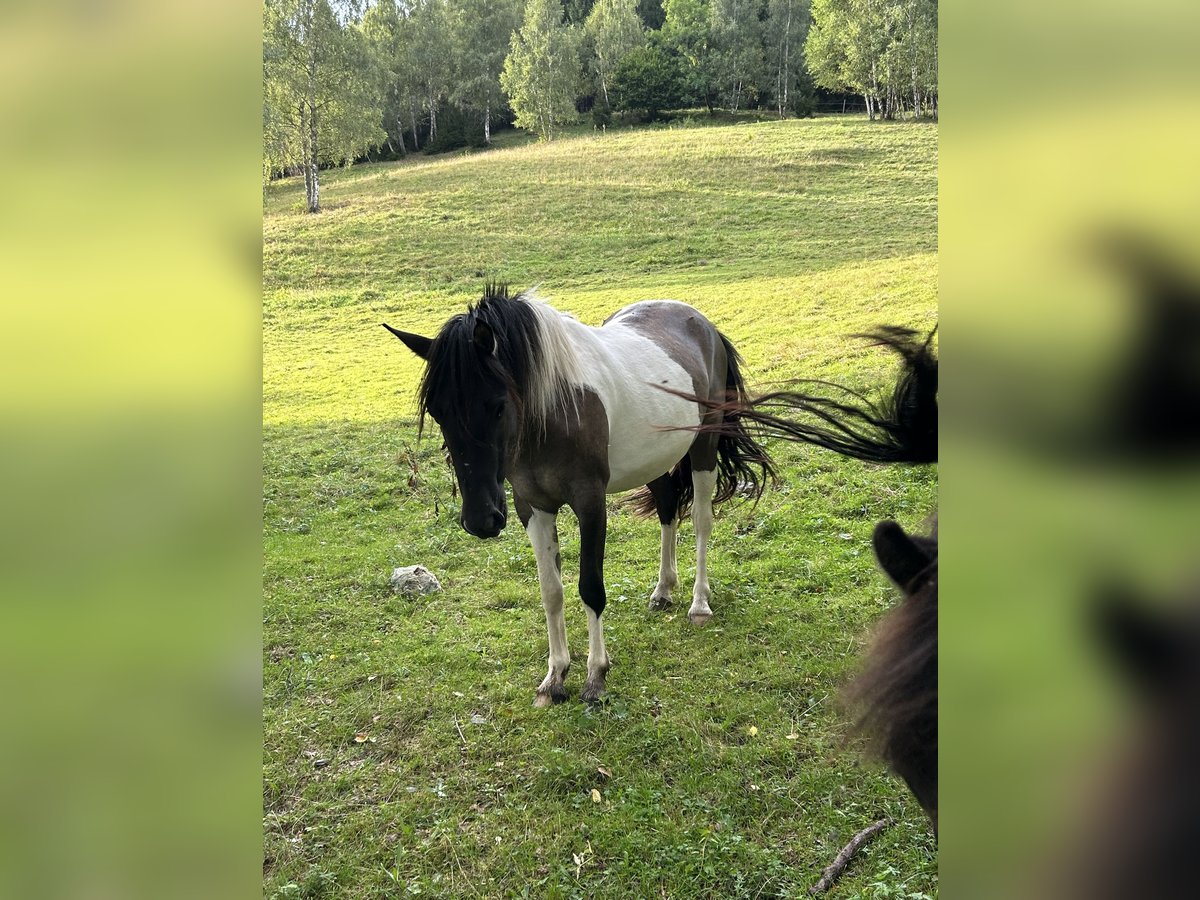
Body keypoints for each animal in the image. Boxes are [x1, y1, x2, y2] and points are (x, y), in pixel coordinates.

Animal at [386, 285, 777, 710]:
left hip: (704, 447)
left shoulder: (590, 503)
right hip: (655, 460)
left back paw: (699, 603)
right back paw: (663, 590)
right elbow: (551, 592)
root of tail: (702, 323)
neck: (552, 409)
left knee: (702, 521)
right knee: (668, 508)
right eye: (437, 412)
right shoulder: (532, 508)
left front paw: (595, 677)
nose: (480, 520)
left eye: (498, 406)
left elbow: (591, 587)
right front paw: (554, 677)